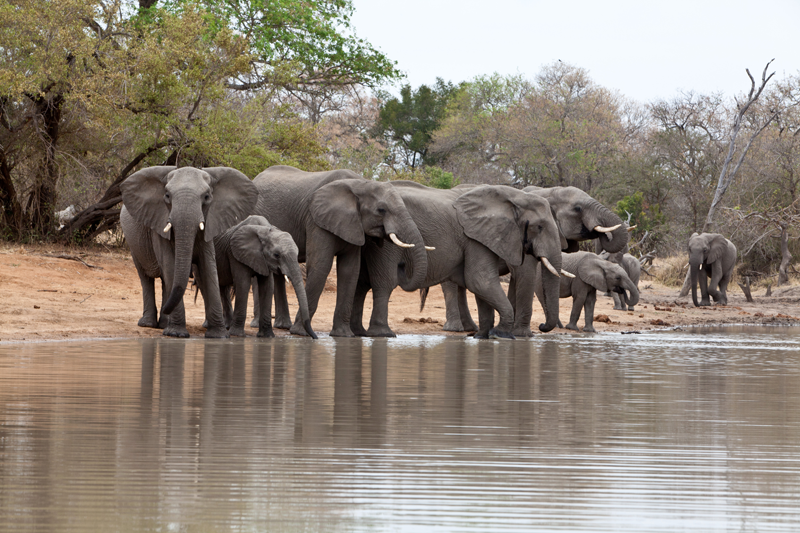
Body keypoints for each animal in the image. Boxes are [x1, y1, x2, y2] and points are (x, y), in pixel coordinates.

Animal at [120, 165, 257, 338]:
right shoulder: (159, 223)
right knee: (146, 277)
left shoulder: (210, 222)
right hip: (133, 242)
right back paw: (149, 324)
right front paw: (176, 334)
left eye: (206, 197)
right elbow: (170, 264)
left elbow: (208, 266)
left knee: (165, 281)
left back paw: (163, 324)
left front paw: (218, 335)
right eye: (167, 195)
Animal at [253, 165, 428, 337]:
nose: (403, 266)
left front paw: (343, 335)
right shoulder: (317, 219)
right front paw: (300, 333)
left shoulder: (353, 225)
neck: (360, 184)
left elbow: (349, 270)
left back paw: (283, 326)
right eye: (381, 210)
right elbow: (321, 266)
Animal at [352, 183, 564, 339]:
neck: (512, 196)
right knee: (384, 283)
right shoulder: (474, 238)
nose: (542, 326)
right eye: (539, 227)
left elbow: (481, 286)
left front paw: (482, 336)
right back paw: (383, 334)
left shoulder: (482, 236)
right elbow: (480, 280)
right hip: (387, 239)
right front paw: (501, 334)